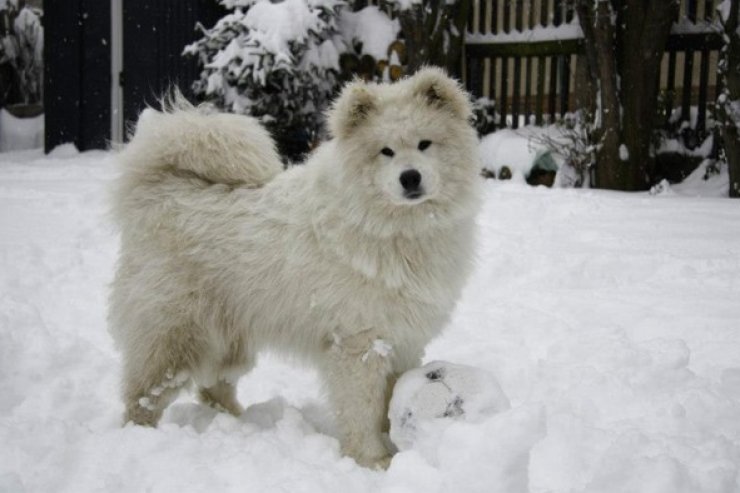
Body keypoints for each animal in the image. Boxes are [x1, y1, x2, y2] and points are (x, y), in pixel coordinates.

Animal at [108, 67, 480, 468]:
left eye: (425, 144)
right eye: (386, 151)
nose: (410, 177)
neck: (393, 228)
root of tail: (162, 192)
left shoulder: (403, 339)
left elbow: (391, 398)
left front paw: (393, 439)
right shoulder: (358, 344)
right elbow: (363, 408)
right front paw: (373, 459)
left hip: (228, 338)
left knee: (214, 387)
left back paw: (240, 423)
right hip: (175, 334)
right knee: (143, 394)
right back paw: (140, 434)